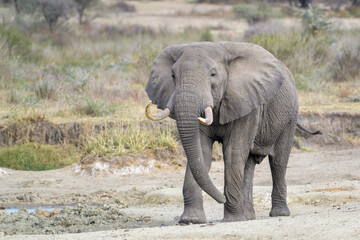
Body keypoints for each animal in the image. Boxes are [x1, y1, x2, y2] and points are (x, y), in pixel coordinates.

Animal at [143, 42, 320, 224]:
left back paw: (279, 214)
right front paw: (190, 220)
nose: (221, 198)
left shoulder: (247, 101)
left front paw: (232, 219)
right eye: (172, 75)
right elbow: (202, 153)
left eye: (213, 74)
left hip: (290, 114)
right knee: (249, 164)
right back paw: (248, 216)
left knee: (278, 162)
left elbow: (233, 152)